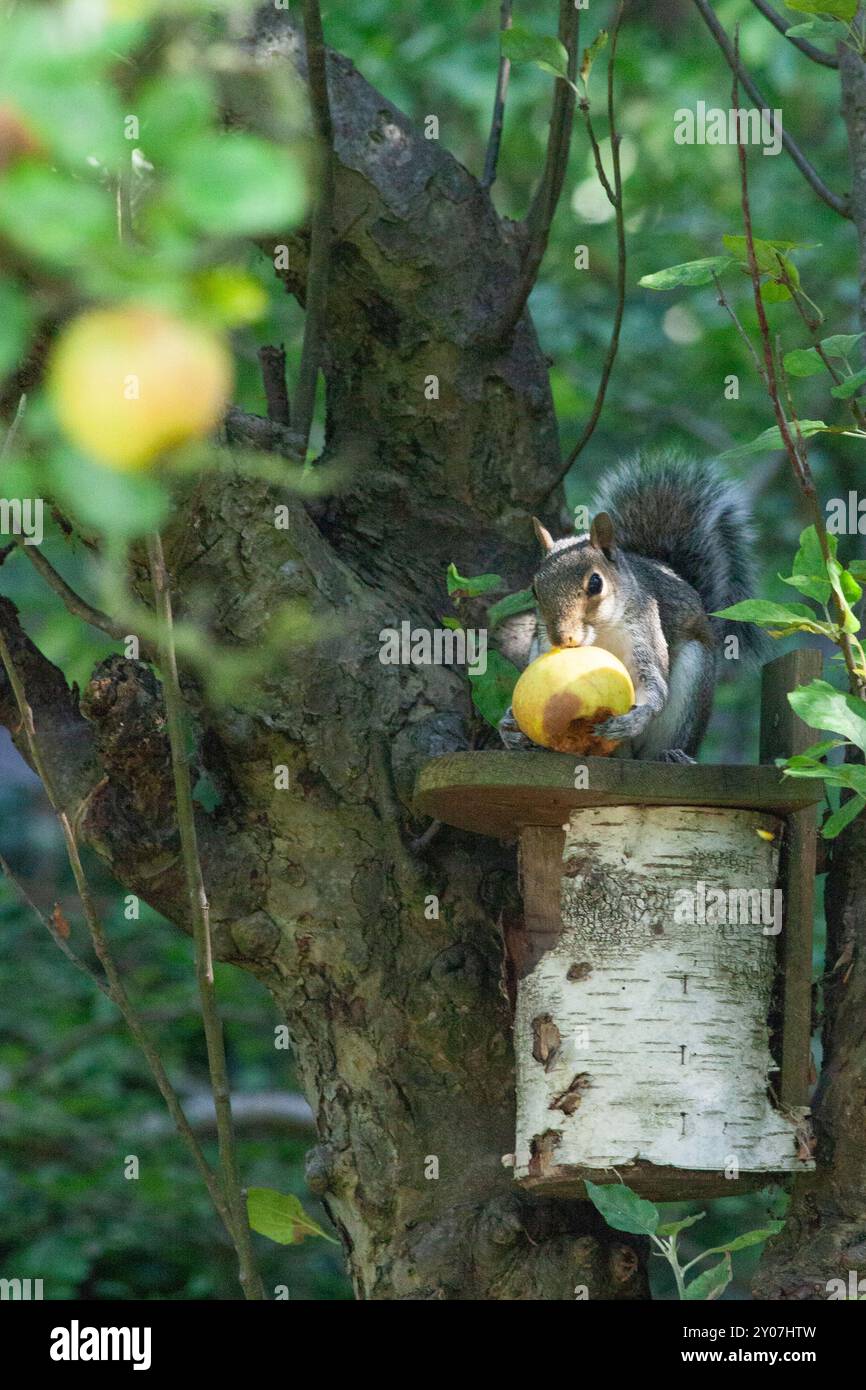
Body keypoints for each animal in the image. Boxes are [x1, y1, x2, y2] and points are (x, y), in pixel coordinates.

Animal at [500, 453, 767, 761]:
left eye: (596, 583)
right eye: (534, 588)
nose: (562, 637)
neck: (600, 634)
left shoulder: (644, 632)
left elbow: (654, 687)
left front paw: (634, 719)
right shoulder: (541, 646)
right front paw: (509, 726)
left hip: (692, 679)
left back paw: (672, 755)